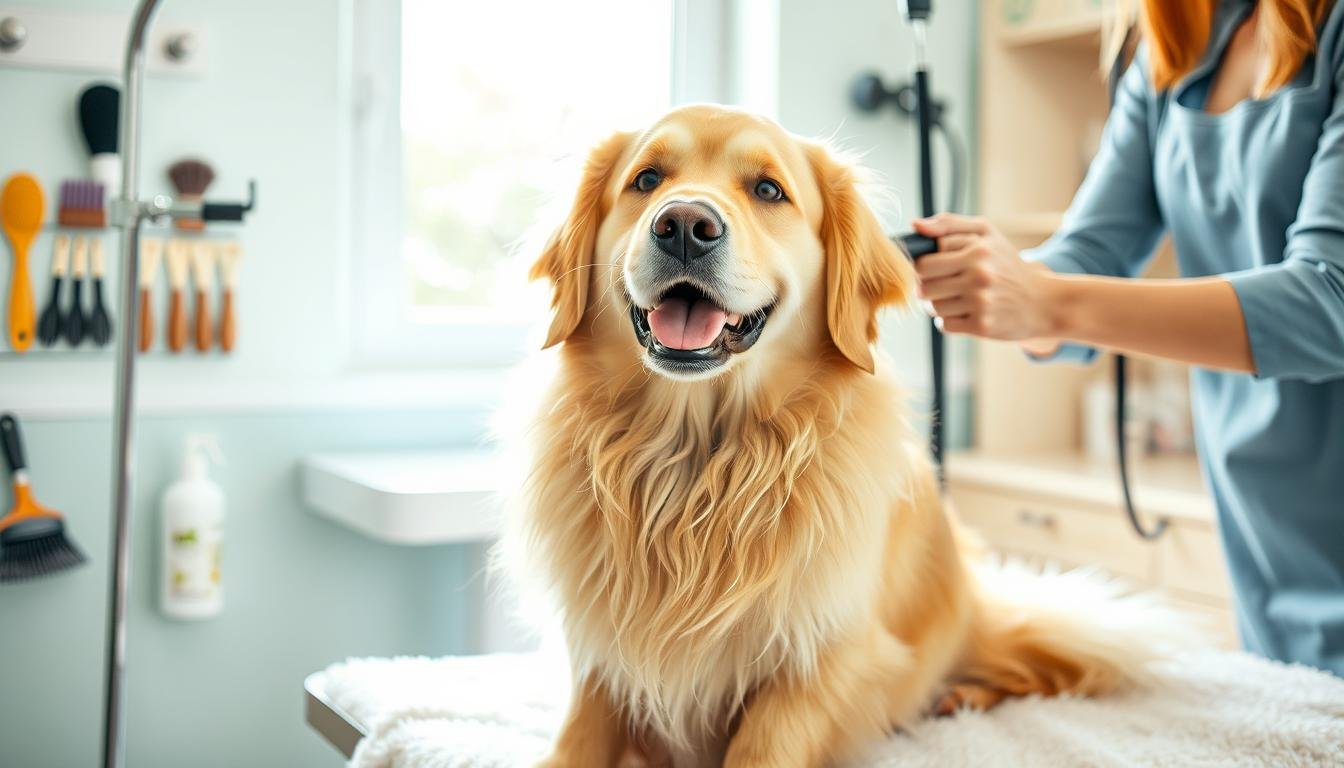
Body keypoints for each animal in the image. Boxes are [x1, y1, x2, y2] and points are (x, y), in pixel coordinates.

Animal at [505, 103, 1188, 768]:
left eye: (769, 190)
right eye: (646, 180)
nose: (683, 225)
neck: (700, 459)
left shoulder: (823, 654)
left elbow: (764, 746)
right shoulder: (601, 639)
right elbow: (583, 730)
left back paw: (963, 694)